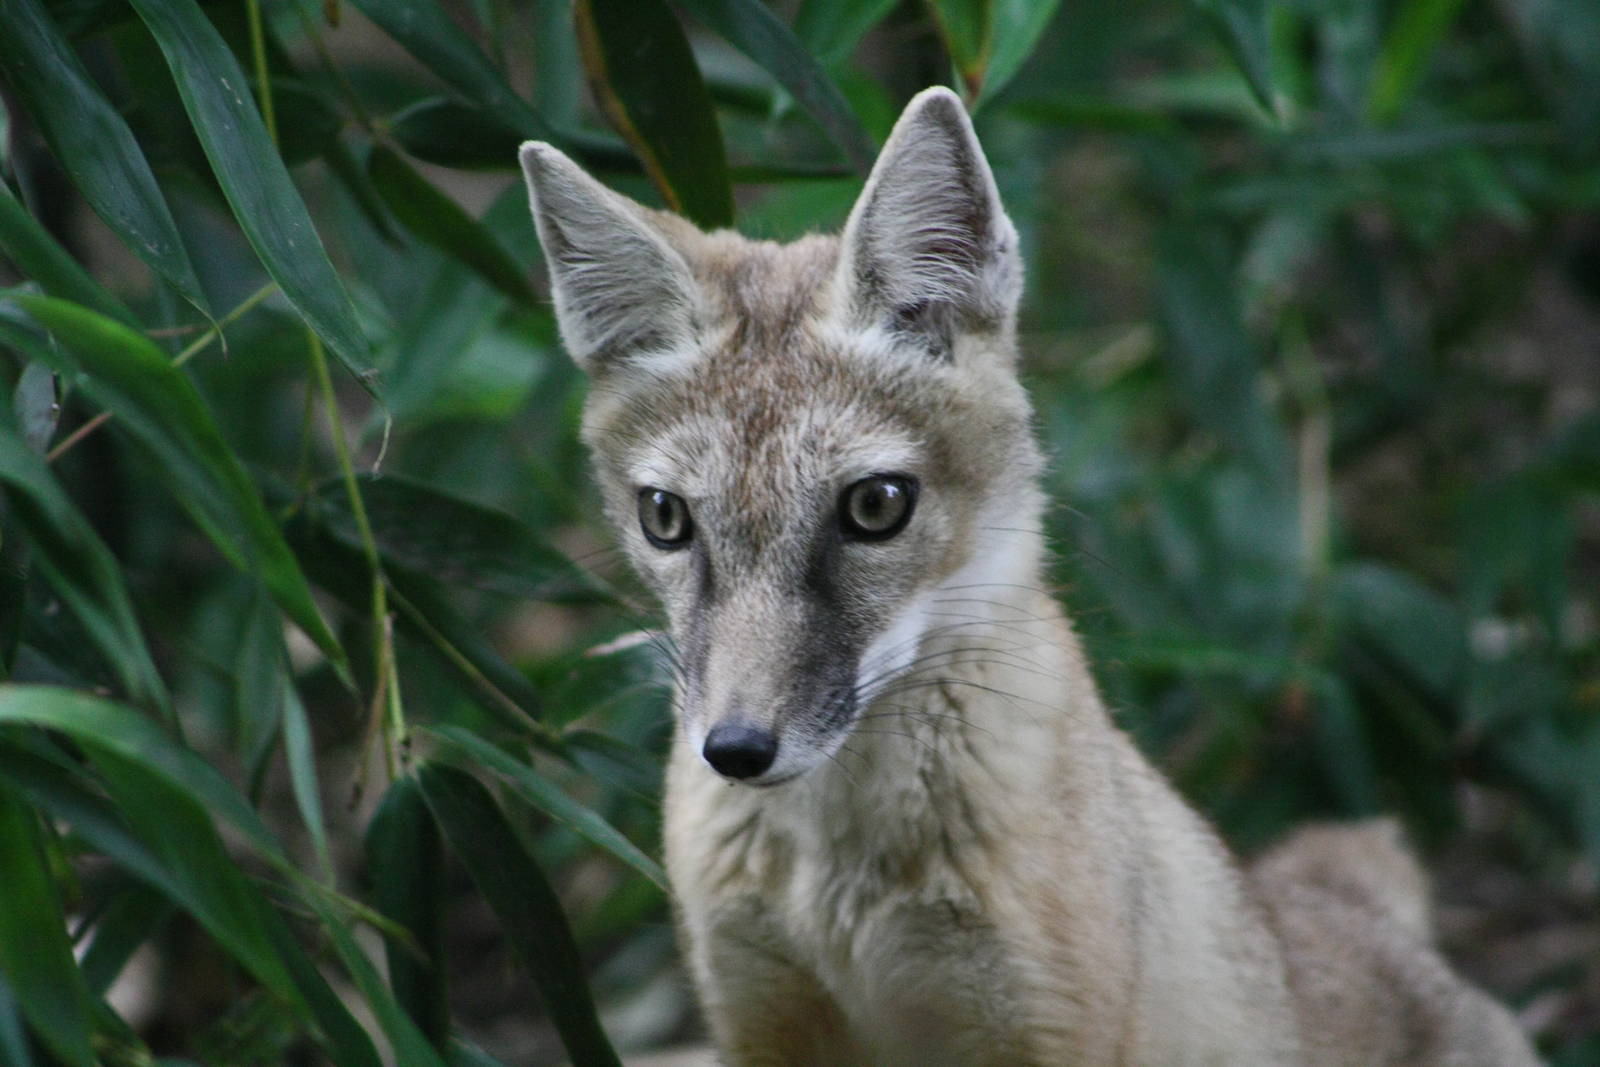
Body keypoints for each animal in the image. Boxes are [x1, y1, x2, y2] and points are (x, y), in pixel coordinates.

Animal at [518, 88, 1540, 1066]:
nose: (734, 749)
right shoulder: (758, 1017)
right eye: (666, 518)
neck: (836, 885)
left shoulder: (1034, 1027)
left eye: (876, 506)